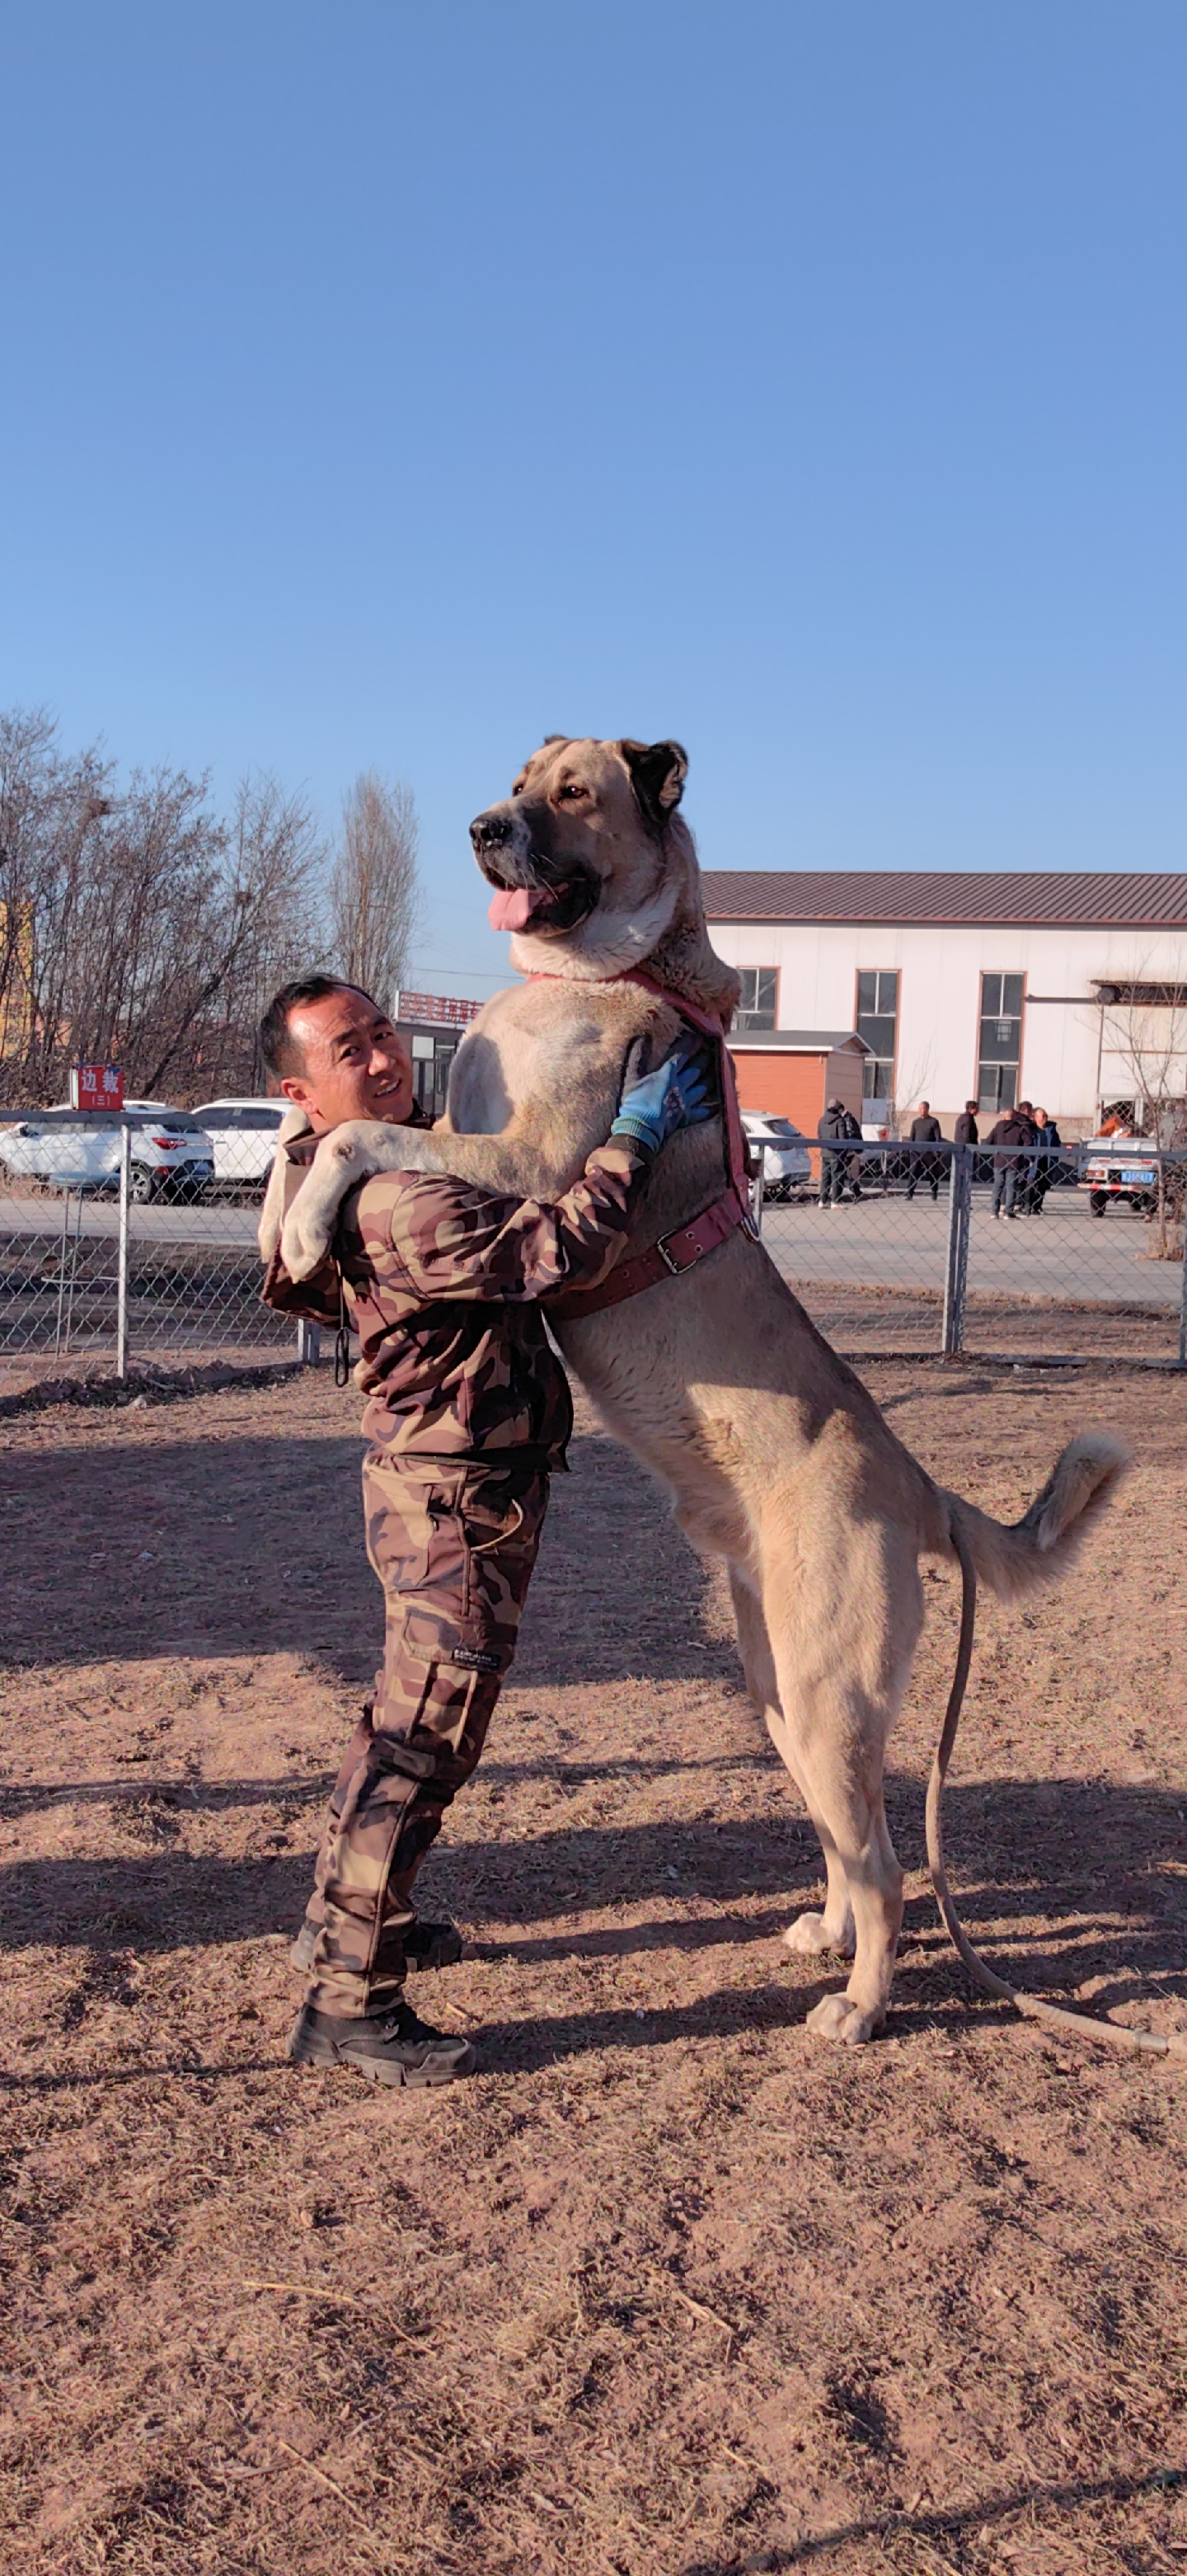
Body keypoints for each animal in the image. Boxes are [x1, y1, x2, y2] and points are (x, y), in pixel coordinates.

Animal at [264, 736, 1122, 2040]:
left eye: (573, 793)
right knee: (853, 1836)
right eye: (521, 771)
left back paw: (861, 2006)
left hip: (821, 1689)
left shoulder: (516, 1166)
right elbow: (309, 1139)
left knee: (888, 1867)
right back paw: (827, 1938)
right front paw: (281, 1214)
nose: (484, 828)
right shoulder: (452, 1125)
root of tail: (920, 1486)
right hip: (778, 1692)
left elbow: (362, 1142)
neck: (598, 973)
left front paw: (315, 1220)